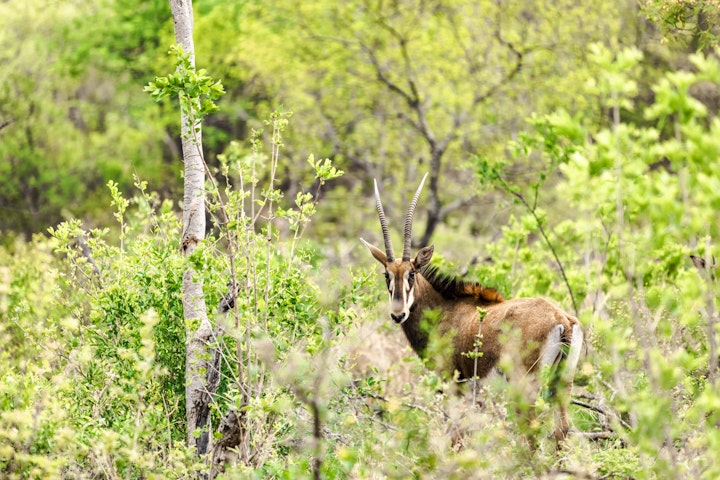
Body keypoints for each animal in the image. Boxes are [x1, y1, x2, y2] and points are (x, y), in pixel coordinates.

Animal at [360, 174, 584, 444]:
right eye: (387, 275)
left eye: (412, 273)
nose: (398, 314)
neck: (444, 309)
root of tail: (561, 318)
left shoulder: (453, 383)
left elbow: (456, 434)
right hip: (562, 383)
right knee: (562, 430)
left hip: (525, 384)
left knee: (530, 430)